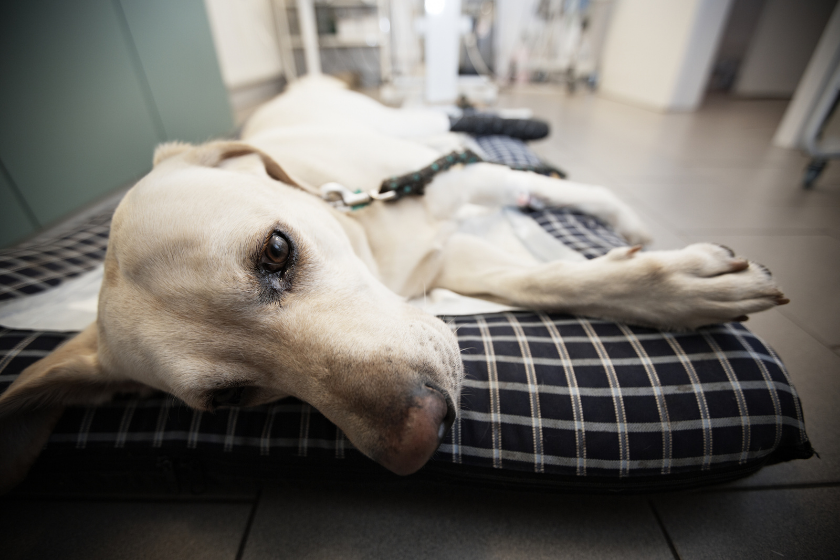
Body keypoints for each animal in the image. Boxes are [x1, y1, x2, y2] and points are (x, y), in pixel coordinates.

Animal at [0, 75, 788, 490]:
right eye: (229, 400)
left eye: (276, 251)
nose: (419, 438)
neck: (368, 232)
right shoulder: (448, 260)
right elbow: (555, 281)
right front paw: (669, 287)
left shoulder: (459, 185)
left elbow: (566, 203)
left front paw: (644, 242)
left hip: (420, 132)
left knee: (459, 123)